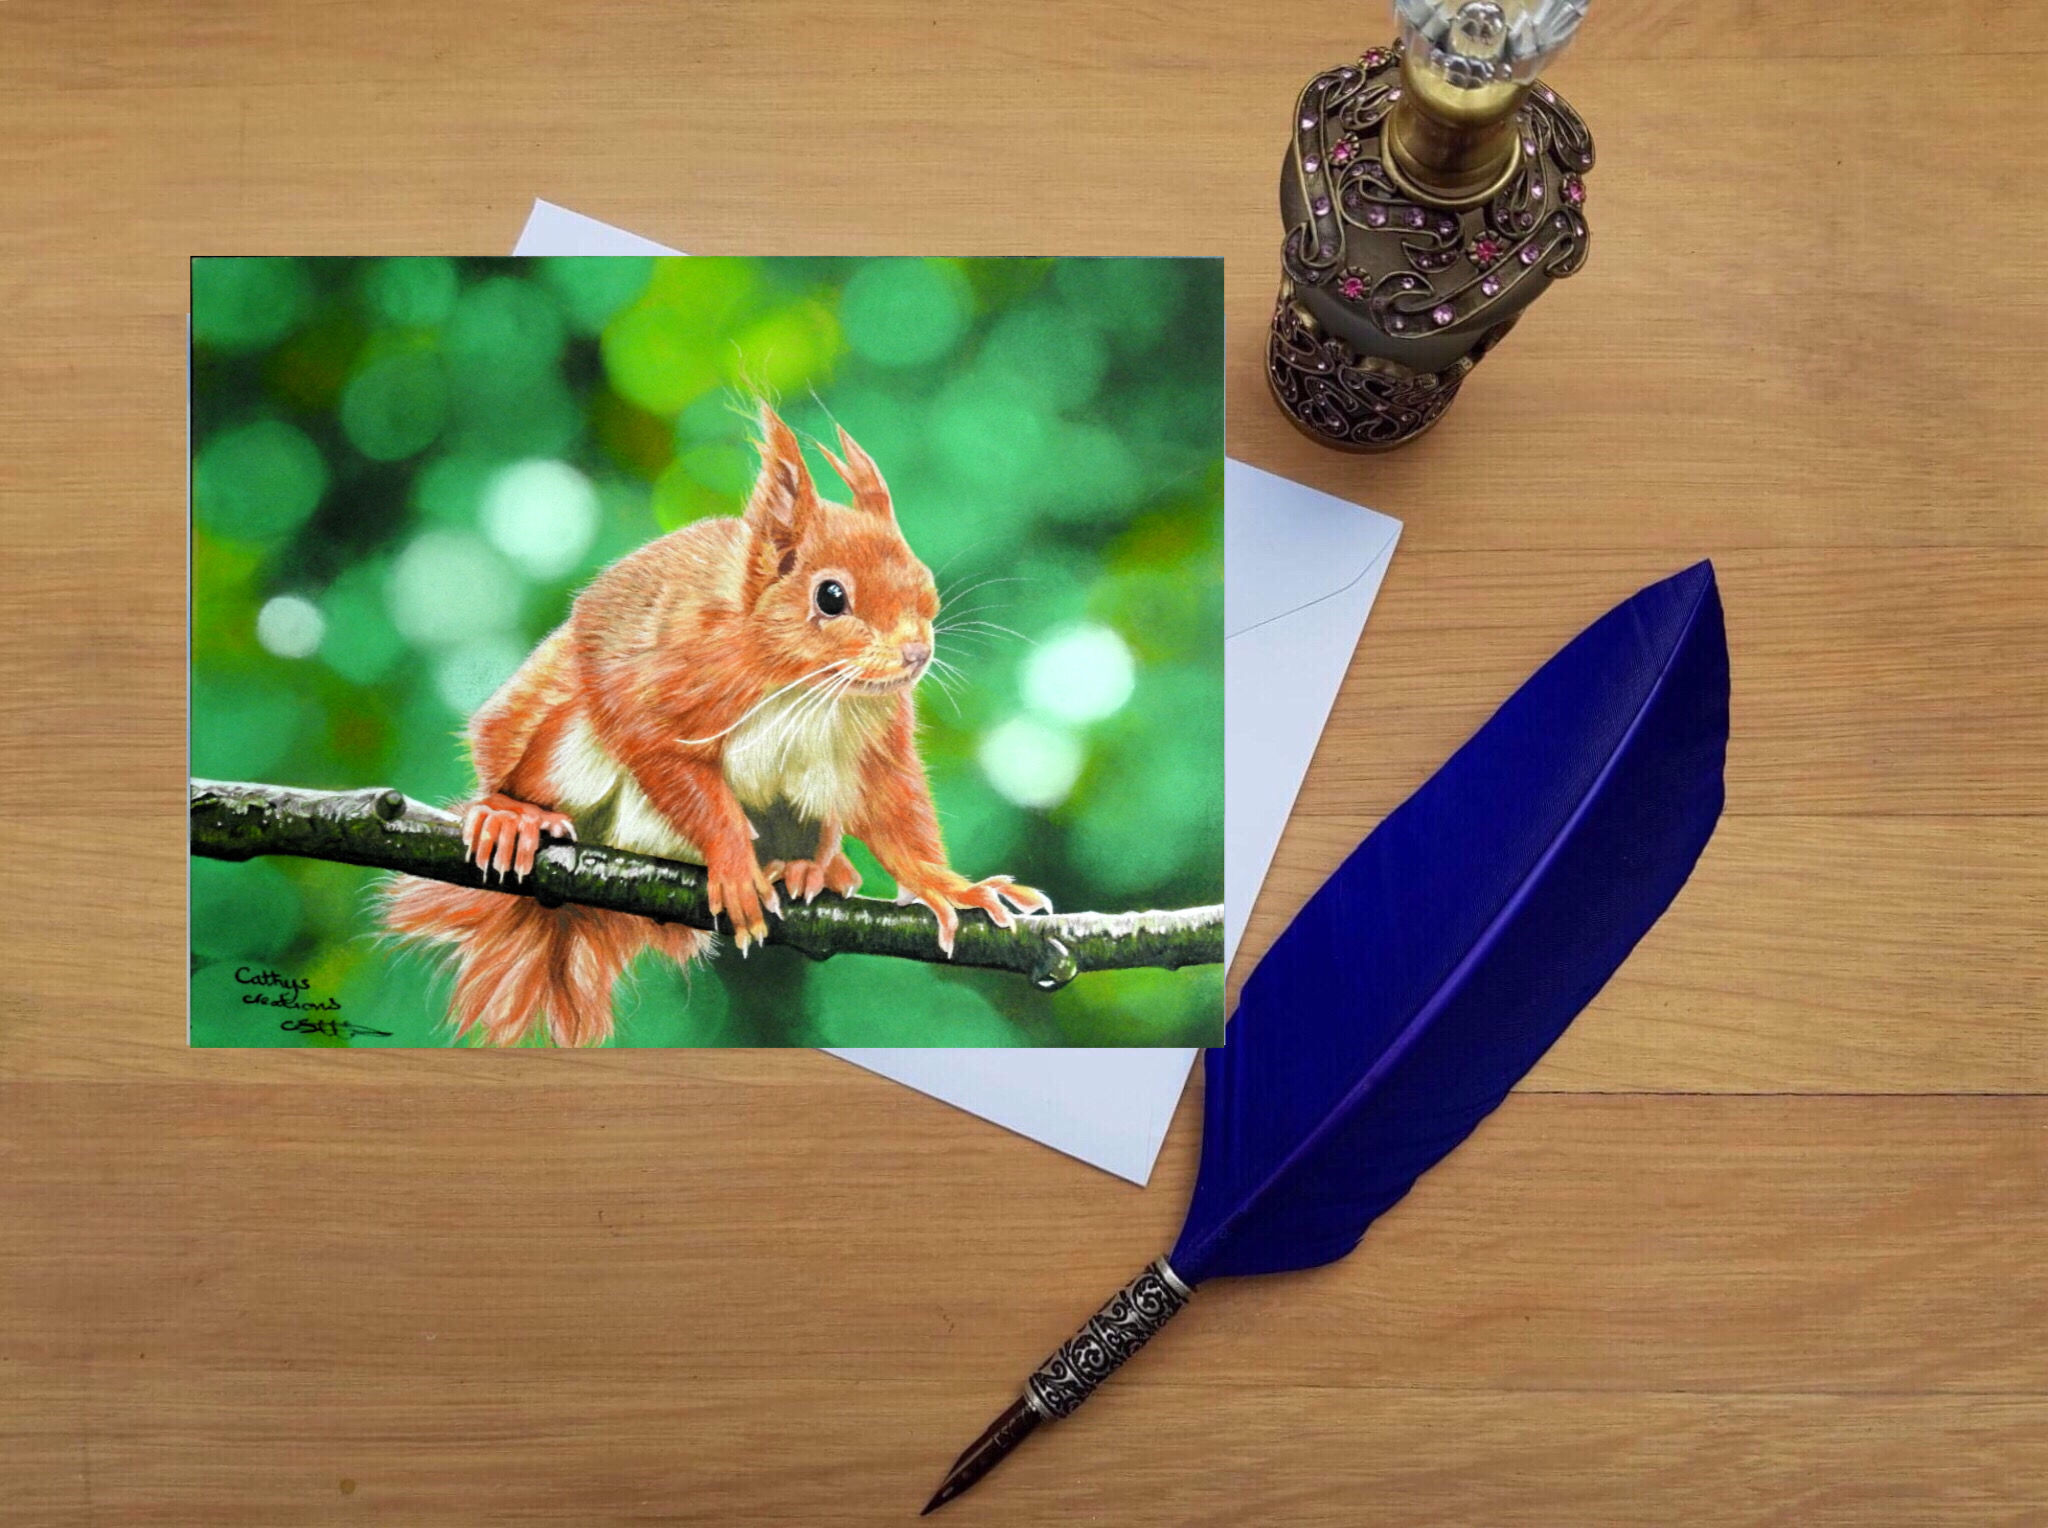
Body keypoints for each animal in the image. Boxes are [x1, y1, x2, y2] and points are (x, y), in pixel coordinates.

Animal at [384, 402, 1050, 1046]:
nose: (917, 654)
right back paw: (512, 816)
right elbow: (664, 756)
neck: (803, 684)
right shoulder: (669, 683)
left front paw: (948, 885)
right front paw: (733, 865)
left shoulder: (877, 734)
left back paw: (811, 869)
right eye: (831, 597)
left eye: (924, 582)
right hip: (560, 741)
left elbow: (895, 809)